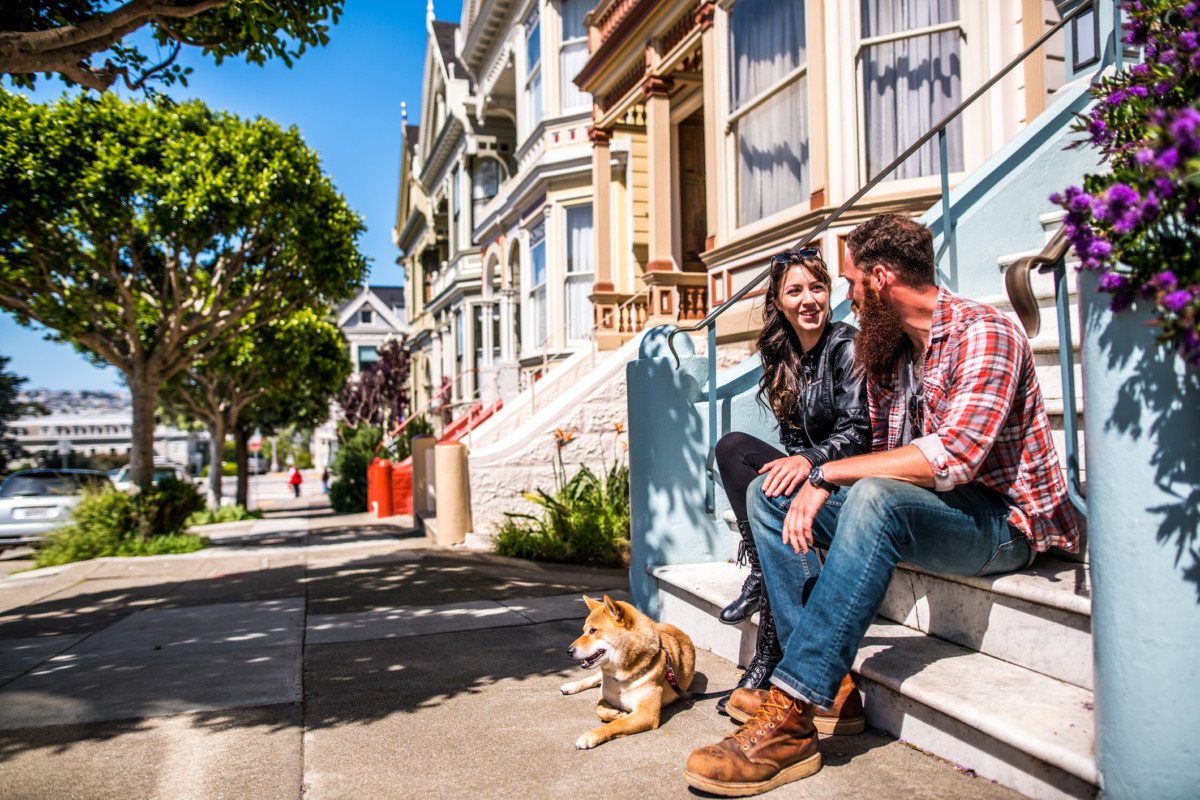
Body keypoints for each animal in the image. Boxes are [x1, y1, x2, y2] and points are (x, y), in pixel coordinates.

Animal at [559, 594, 700, 753]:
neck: (620, 679)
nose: (569, 651)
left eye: (593, 630)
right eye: (584, 631)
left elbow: (616, 724)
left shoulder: (646, 714)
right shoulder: (604, 693)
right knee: (594, 678)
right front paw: (615, 713)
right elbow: (599, 709)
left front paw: (591, 735)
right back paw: (571, 686)